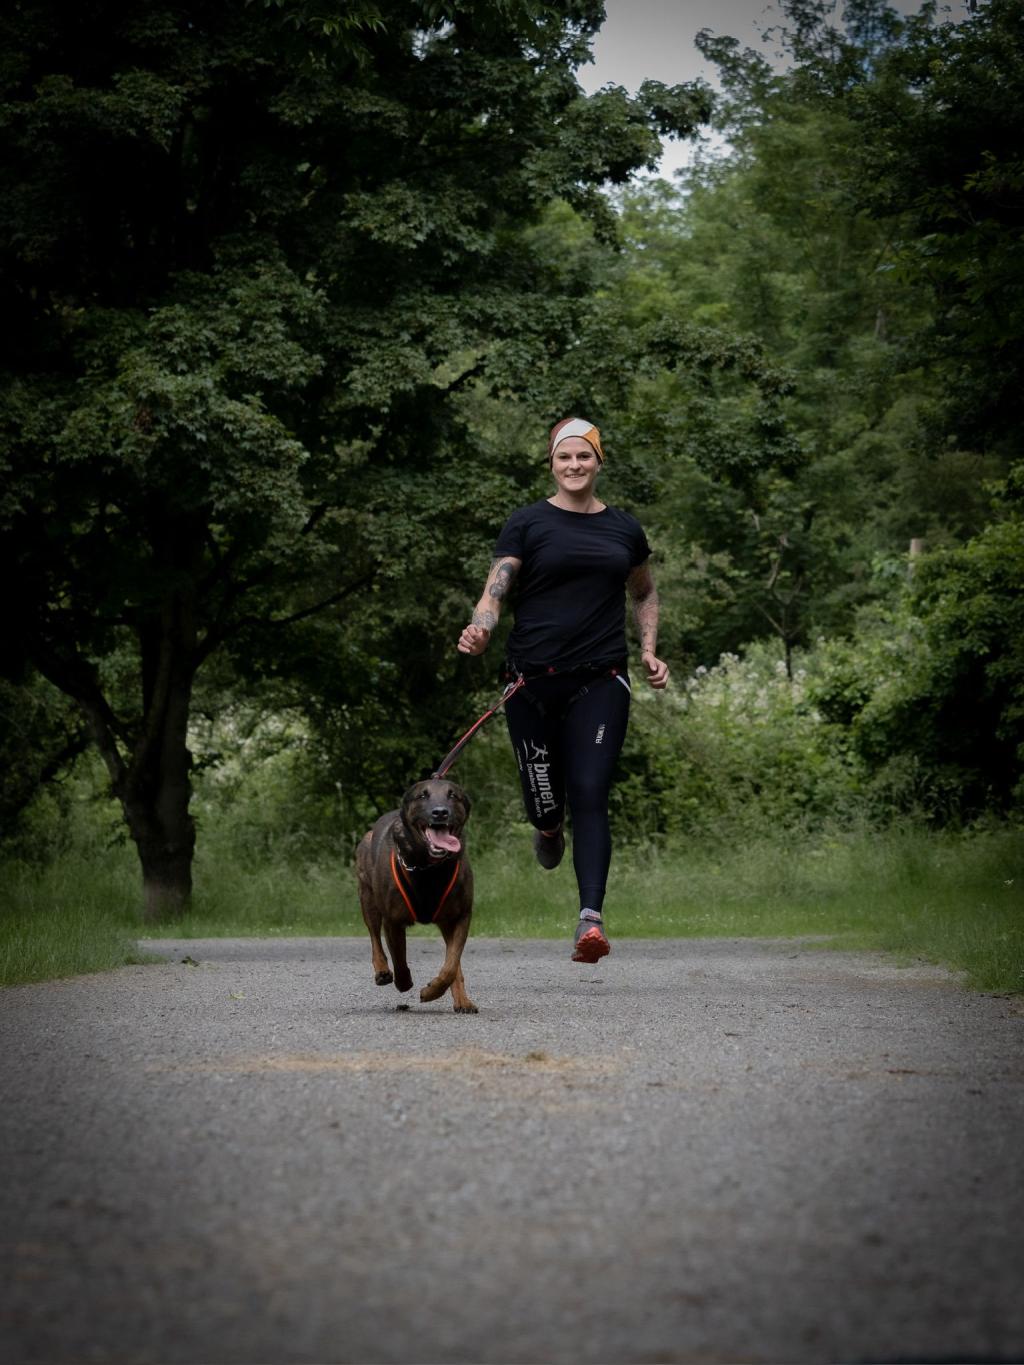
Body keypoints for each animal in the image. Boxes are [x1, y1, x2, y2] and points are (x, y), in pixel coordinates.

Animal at [356, 777, 477, 1012]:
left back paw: (462, 1000)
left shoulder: (460, 916)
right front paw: (404, 982)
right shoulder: (393, 920)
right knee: (374, 937)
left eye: (453, 795)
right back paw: (382, 971)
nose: (440, 812)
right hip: (367, 897)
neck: (429, 868)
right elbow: (399, 957)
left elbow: (451, 965)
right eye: (422, 795)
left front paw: (433, 991)